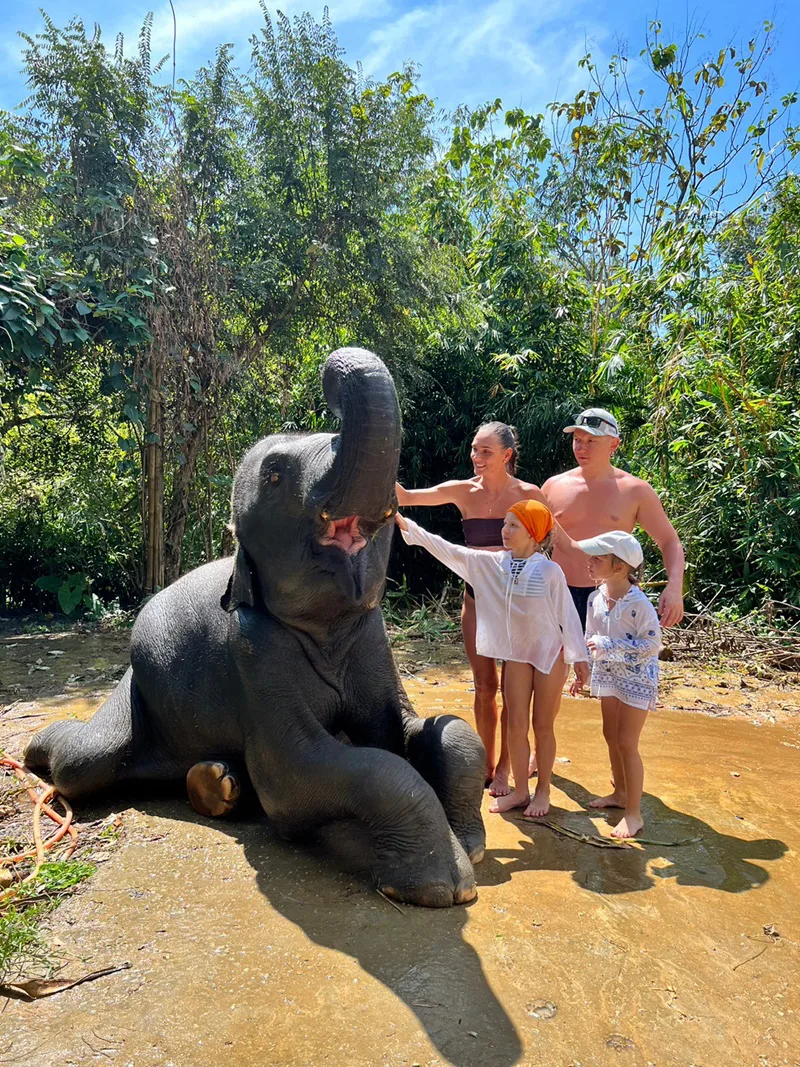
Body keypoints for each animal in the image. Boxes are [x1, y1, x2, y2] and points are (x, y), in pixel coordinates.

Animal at [25, 347, 486, 907]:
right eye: (274, 476)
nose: (331, 382)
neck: (326, 630)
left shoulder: (373, 641)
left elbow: (420, 732)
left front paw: (471, 845)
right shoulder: (252, 653)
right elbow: (301, 773)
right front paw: (442, 886)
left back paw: (216, 785)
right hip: (134, 692)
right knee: (86, 761)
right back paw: (36, 748)